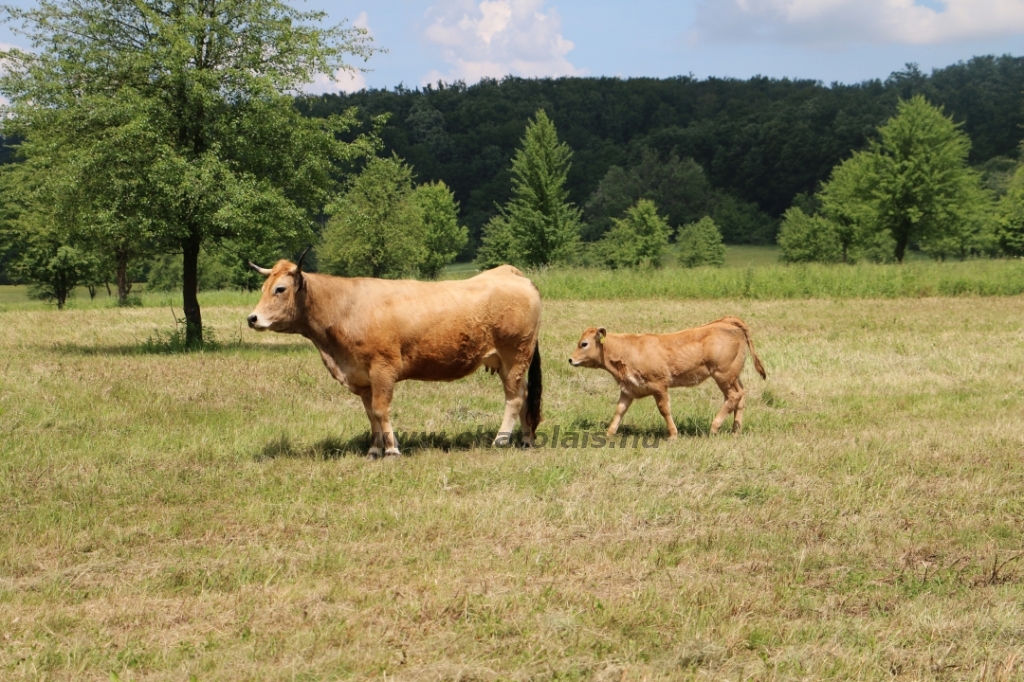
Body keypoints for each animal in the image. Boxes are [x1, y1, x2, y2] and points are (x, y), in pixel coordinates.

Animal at [247, 256, 544, 456]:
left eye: (280, 289)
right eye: (262, 288)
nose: (252, 318)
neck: (344, 307)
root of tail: (509, 273)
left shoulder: (383, 368)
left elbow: (381, 409)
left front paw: (391, 449)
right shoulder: (362, 376)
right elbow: (370, 414)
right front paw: (374, 450)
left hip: (515, 355)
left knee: (514, 398)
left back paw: (501, 440)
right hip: (511, 362)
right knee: (525, 394)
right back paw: (526, 440)